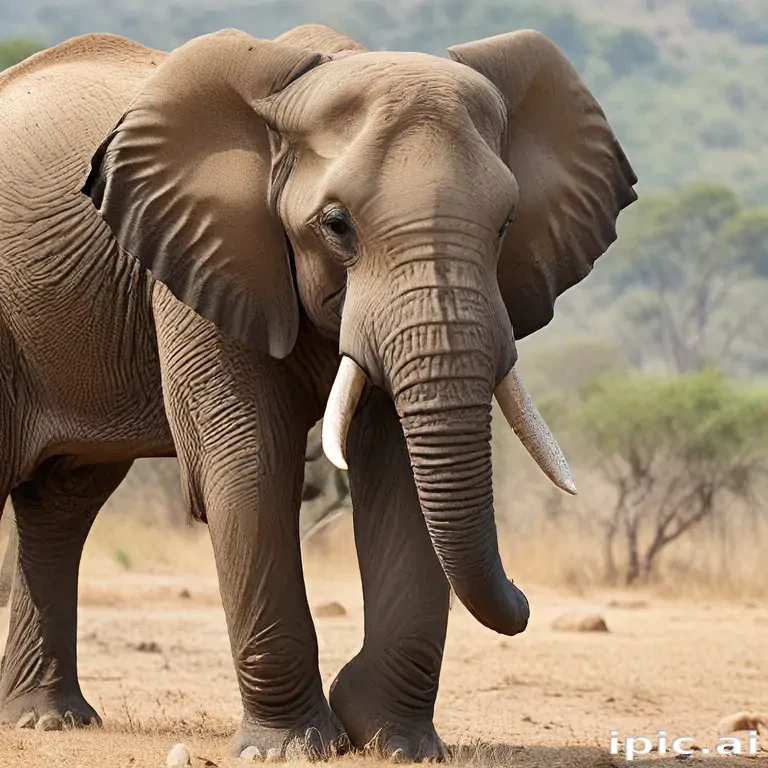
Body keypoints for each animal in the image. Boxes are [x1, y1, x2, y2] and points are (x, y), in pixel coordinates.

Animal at [0, 22, 636, 760]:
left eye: (506, 223)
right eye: (337, 225)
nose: (527, 602)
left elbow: (396, 466)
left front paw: (395, 741)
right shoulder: (205, 253)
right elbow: (249, 459)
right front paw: (292, 749)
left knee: (64, 502)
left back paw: (49, 719)